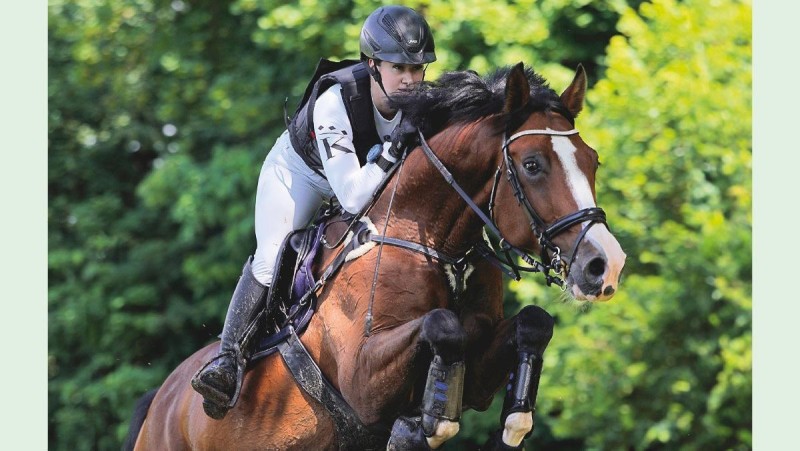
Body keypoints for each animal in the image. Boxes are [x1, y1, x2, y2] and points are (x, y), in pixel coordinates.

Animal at [125, 61, 624, 450]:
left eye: (593, 160)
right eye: (532, 165)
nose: (605, 265)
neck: (437, 248)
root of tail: (161, 401)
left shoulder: (480, 371)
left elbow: (533, 322)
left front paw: (515, 417)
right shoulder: (362, 380)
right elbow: (443, 324)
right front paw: (430, 423)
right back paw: (219, 376)